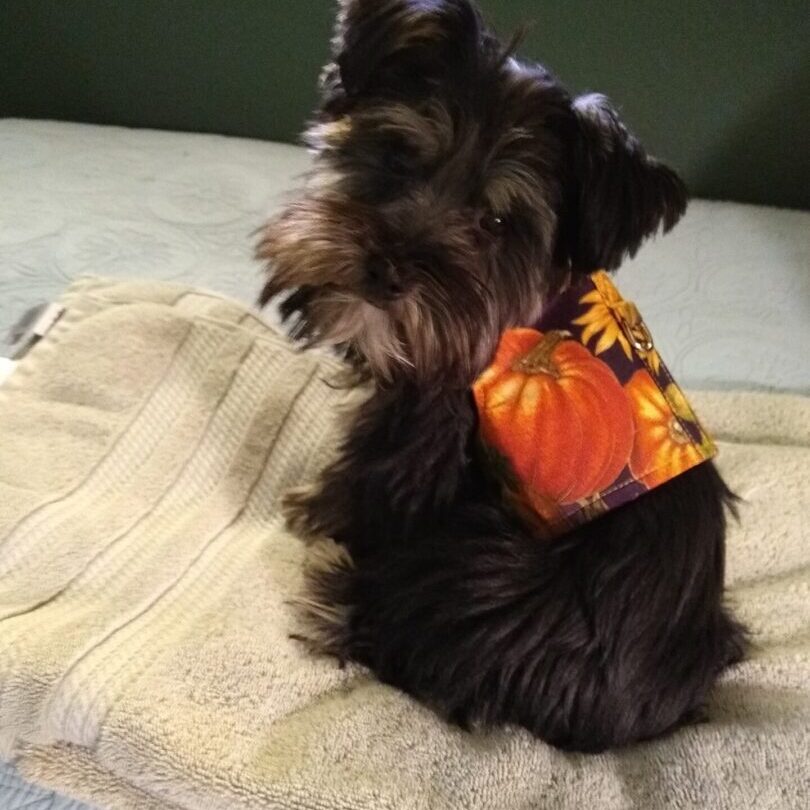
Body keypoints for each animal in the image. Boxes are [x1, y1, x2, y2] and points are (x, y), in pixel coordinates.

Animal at [258, 0, 744, 752]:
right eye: (397, 157)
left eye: (493, 221)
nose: (386, 269)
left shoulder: (419, 431)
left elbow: (360, 478)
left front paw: (313, 508)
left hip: (478, 557)